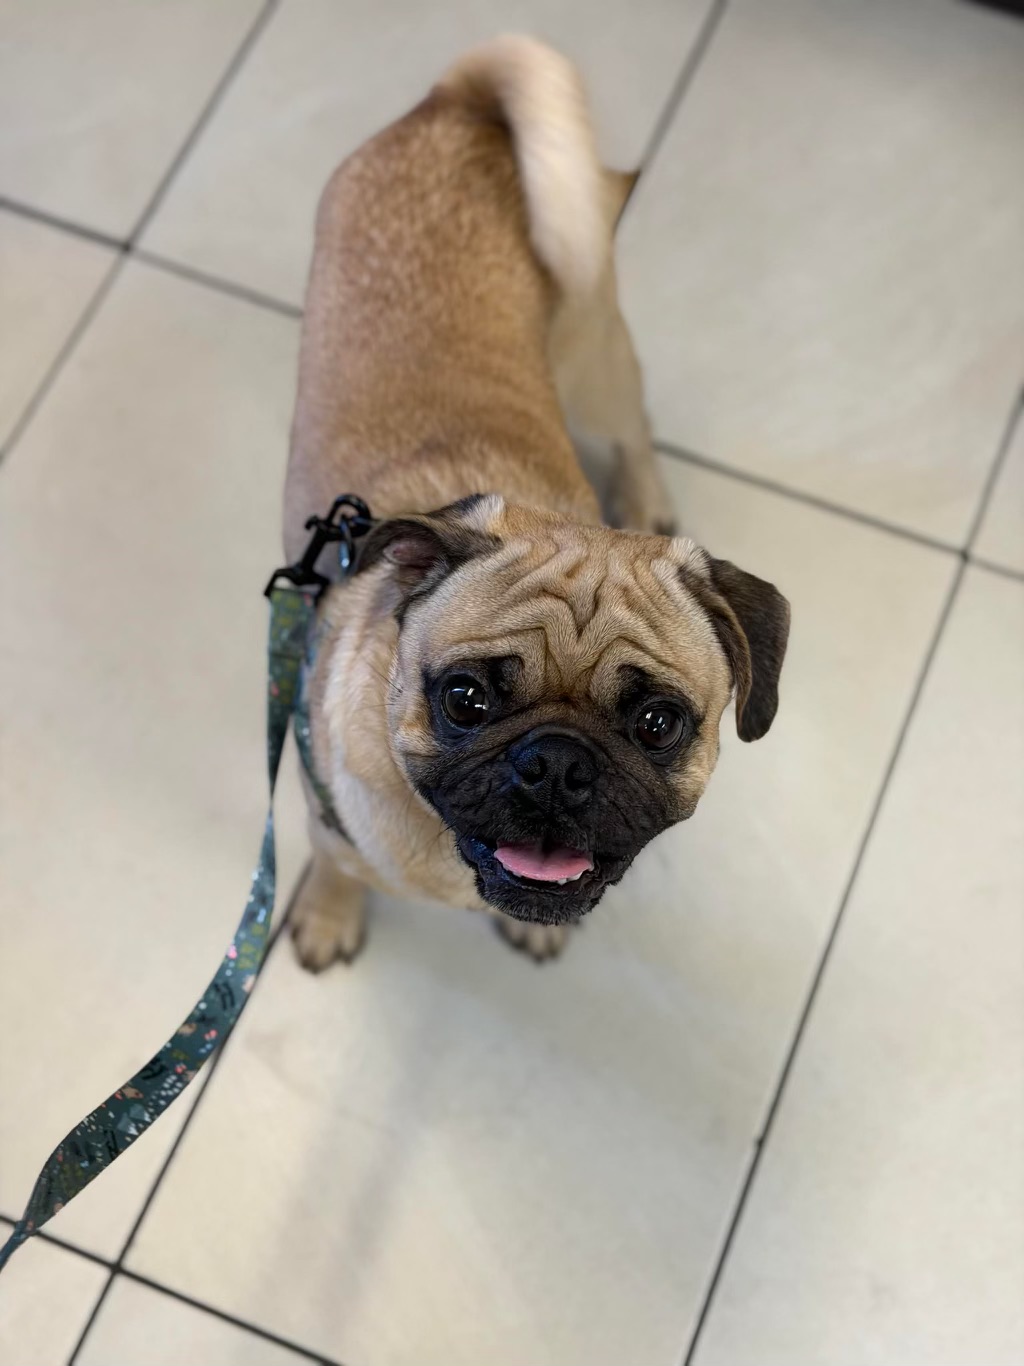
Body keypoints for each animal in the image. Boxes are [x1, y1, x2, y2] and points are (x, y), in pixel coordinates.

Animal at [283, 36, 790, 965]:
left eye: (658, 722)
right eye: (465, 701)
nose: (556, 763)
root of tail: (454, 103)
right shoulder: (326, 817)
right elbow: (335, 865)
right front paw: (331, 914)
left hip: (595, 359)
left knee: (637, 426)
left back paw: (648, 495)